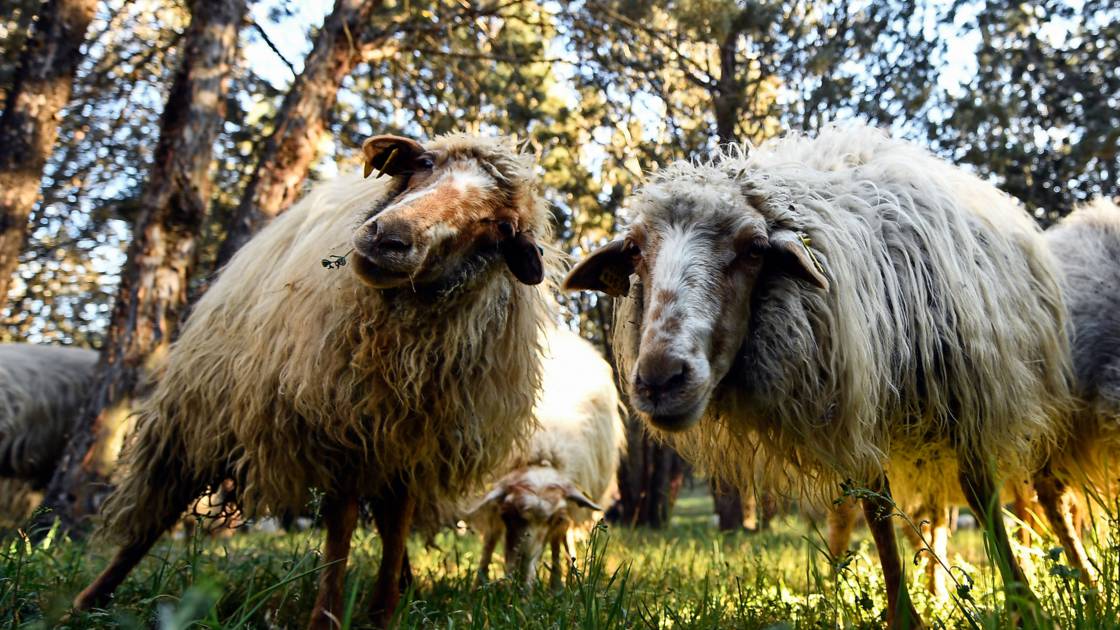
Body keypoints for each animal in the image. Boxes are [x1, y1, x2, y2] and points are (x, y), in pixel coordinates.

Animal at [73, 133, 557, 629]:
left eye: (500, 227)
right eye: (424, 162)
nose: (390, 238)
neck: (397, 351)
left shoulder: (412, 443)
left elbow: (395, 523)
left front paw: (382, 612)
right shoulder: (341, 427)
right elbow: (342, 525)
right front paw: (328, 616)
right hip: (199, 408)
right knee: (161, 504)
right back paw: (91, 598)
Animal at [469, 327, 625, 590]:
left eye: (553, 518)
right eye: (508, 514)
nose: (520, 581)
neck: (542, 449)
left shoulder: (565, 512)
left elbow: (557, 540)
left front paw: (556, 585)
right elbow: (491, 538)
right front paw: (479, 581)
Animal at [564, 124, 1072, 627]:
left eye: (754, 248)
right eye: (634, 250)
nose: (660, 380)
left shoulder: (965, 397)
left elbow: (980, 494)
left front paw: (1024, 607)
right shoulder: (857, 409)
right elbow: (876, 505)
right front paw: (905, 614)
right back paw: (937, 588)